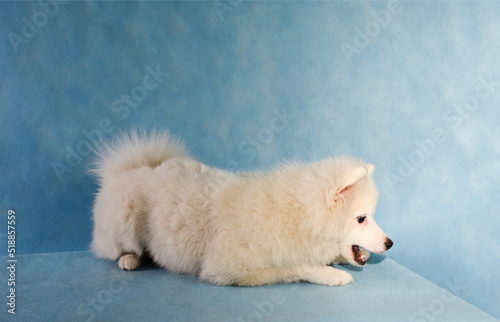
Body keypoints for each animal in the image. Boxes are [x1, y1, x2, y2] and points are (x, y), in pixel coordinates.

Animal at [92, 130, 392, 286]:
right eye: (361, 218)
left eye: (371, 215)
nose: (390, 243)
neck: (298, 216)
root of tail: (131, 169)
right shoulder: (228, 268)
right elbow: (296, 266)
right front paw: (331, 274)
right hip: (124, 221)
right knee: (117, 248)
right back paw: (129, 259)